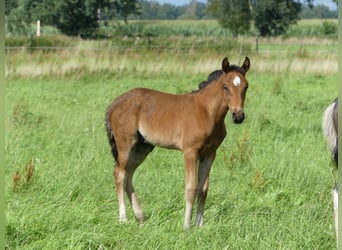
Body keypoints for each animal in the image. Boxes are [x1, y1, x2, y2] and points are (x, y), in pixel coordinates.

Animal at [105, 56, 250, 229]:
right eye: (226, 87)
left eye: (246, 87)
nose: (238, 116)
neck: (207, 112)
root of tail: (114, 104)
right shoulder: (190, 151)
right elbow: (191, 187)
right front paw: (187, 225)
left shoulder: (210, 153)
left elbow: (203, 189)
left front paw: (199, 225)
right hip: (125, 144)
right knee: (119, 173)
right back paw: (123, 219)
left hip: (143, 147)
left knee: (129, 174)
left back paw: (140, 217)